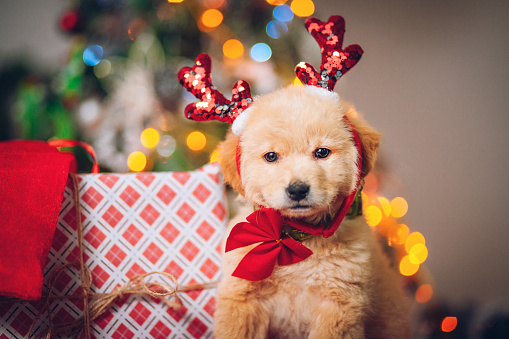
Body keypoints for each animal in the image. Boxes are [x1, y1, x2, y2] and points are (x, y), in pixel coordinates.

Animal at [212, 84, 410, 338]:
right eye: (271, 156)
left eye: (322, 152)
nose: (297, 190)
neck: (296, 237)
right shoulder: (242, 300)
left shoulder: (338, 304)